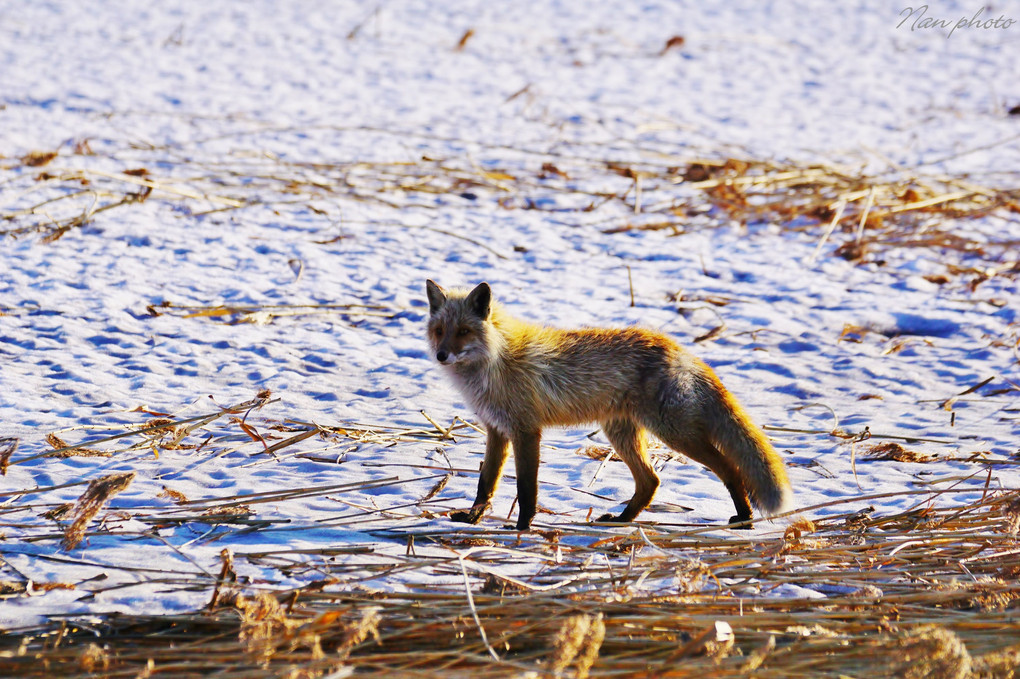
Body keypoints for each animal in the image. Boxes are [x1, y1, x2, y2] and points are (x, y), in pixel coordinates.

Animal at [426, 277, 791, 530]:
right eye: (440, 330)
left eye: (464, 331)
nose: (441, 355)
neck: (496, 362)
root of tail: (677, 347)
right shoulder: (496, 429)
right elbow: (485, 482)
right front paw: (472, 519)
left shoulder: (526, 430)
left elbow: (527, 487)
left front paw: (523, 527)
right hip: (622, 434)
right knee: (650, 481)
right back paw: (622, 520)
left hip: (675, 433)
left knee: (730, 469)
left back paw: (744, 519)